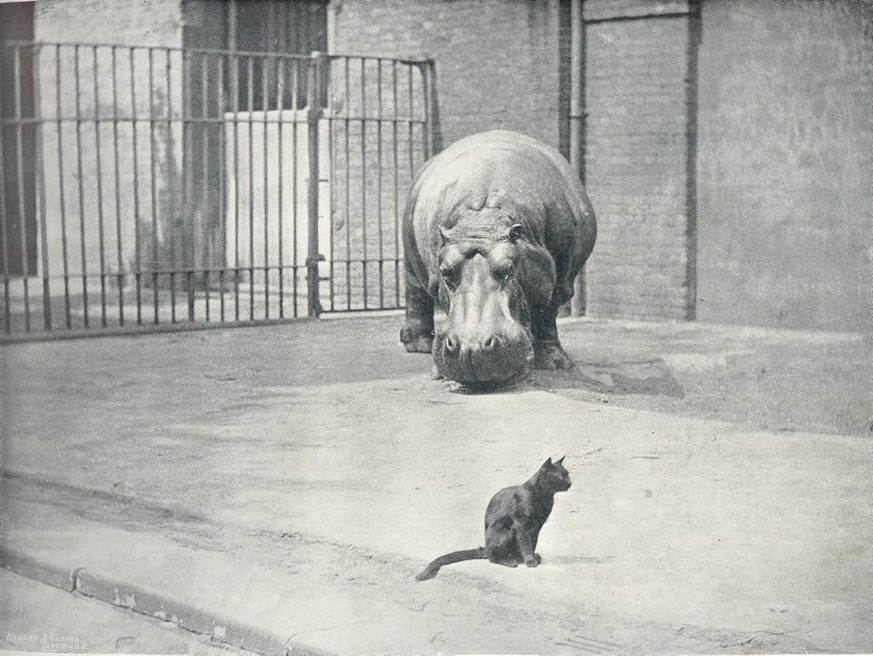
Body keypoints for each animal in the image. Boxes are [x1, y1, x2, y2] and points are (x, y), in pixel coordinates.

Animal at [418, 456, 572, 580]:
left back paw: (518, 557)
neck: (545, 497)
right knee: (492, 557)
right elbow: (525, 543)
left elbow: (532, 542)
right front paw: (529, 560)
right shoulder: (521, 524)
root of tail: (484, 547)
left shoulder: (537, 526)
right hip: (505, 531)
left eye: (568, 474)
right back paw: (509, 561)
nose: (570, 482)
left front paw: (532, 557)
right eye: (561, 476)